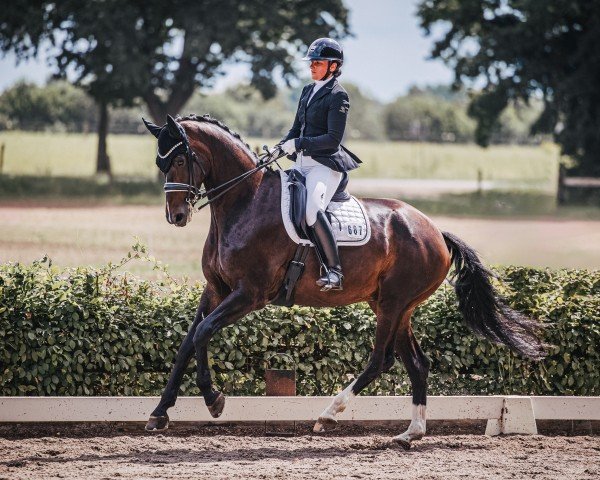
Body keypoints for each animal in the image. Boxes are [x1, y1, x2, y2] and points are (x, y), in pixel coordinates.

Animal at [141, 113, 544, 450]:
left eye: (180, 160)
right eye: (160, 163)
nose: (176, 216)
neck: (245, 202)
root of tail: (436, 232)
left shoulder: (250, 294)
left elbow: (203, 332)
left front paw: (214, 400)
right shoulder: (216, 290)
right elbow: (187, 341)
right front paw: (159, 413)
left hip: (393, 303)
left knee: (380, 361)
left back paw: (328, 415)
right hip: (394, 306)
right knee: (417, 364)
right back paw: (410, 434)